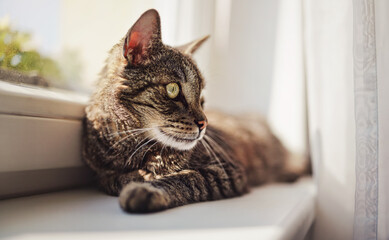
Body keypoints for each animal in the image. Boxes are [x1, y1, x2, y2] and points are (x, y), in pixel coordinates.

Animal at [82, 8, 306, 213]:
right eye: (173, 89)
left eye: (202, 99)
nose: (204, 123)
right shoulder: (102, 172)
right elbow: (115, 179)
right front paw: (135, 178)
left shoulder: (225, 170)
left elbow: (185, 179)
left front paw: (146, 189)